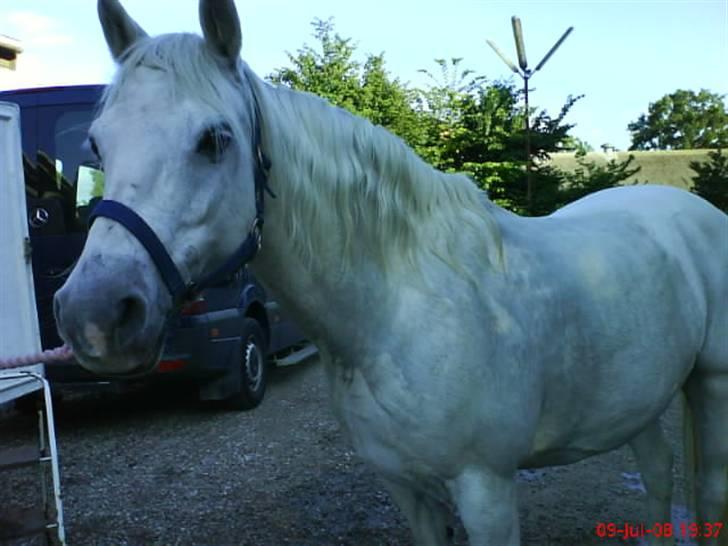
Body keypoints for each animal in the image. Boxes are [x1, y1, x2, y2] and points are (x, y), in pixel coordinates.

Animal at [54, 1, 728, 544]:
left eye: (215, 139)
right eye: (97, 145)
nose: (94, 314)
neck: (395, 309)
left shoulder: (487, 490)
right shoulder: (408, 490)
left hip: (710, 386)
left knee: (706, 490)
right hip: (637, 397)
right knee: (658, 476)